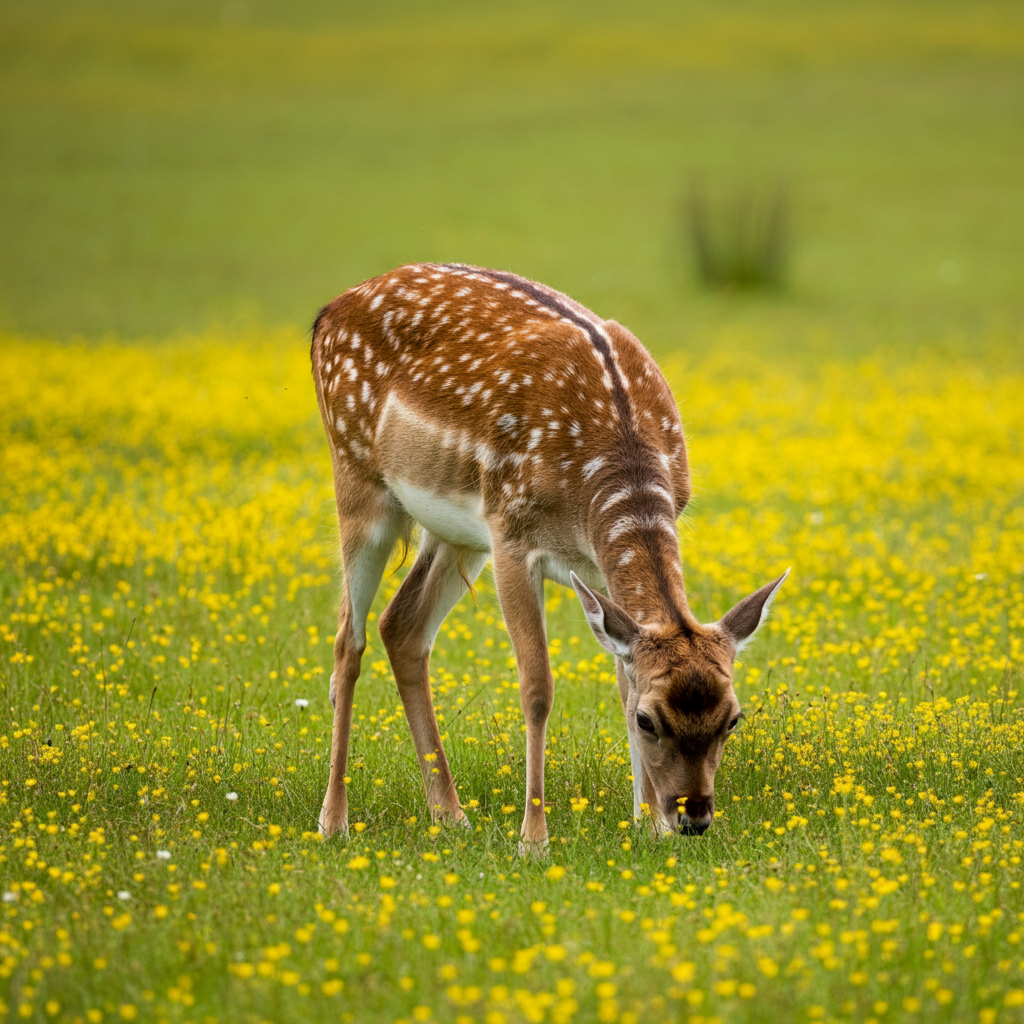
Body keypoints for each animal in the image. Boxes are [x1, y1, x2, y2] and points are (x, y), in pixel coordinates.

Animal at [307, 260, 786, 851]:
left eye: (732, 719)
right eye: (650, 721)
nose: (693, 817)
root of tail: (328, 313)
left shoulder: (595, 566)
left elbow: (622, 677)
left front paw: (646, 823)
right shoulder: (512, 535)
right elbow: (537, 688)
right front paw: (533, 839)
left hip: (456, 531)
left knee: (401, 624)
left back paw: (450, 813)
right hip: (358, 479)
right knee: (347, 643)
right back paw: (333, 820)